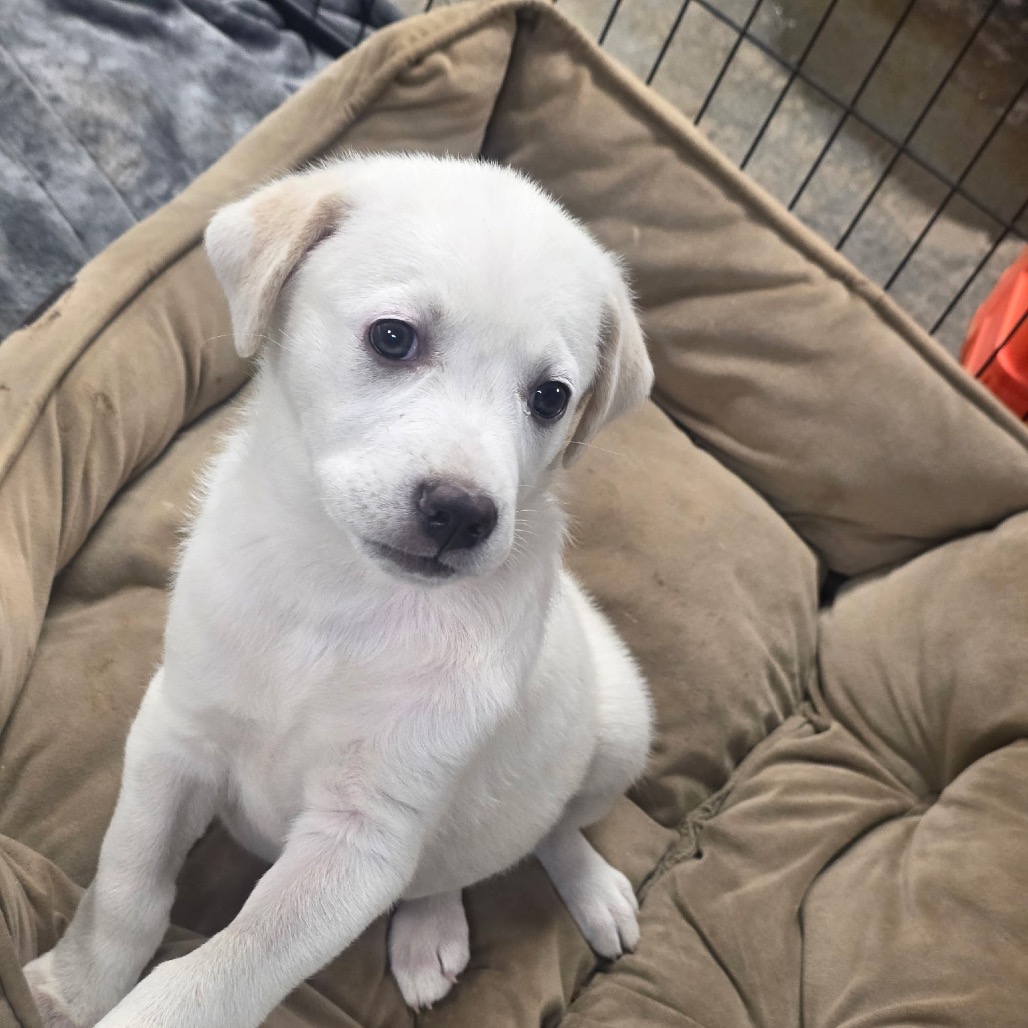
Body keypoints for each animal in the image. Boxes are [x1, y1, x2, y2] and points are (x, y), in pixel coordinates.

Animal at [24, 153, 655, 1028]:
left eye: (551, 397)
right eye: (393, 337)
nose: (462, 513)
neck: (341, 598)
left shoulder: (361, 843)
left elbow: (213, 979)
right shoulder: (174, 731)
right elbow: (129, 886)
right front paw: (75, 985)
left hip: (622, 727)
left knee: (546, 831)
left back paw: (569, 897)